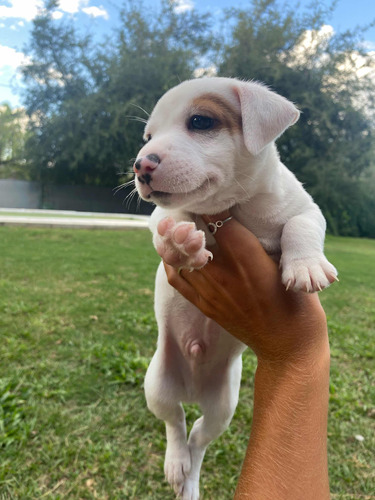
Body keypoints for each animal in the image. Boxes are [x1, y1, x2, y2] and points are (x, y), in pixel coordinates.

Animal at [133, 76, 338, 498]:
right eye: (148, 137)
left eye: (200, 121)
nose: (140, 164)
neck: (236, 207)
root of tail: (193, 389)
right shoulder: (161, 216)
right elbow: (174, 218)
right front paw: (181, 242)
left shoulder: (305, 207)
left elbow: (301, 224)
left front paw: (307, 267)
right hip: (157, 384)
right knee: (176, 424)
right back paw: (176, 465)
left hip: (223, 405)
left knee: (198, 437)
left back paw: (190, 480)